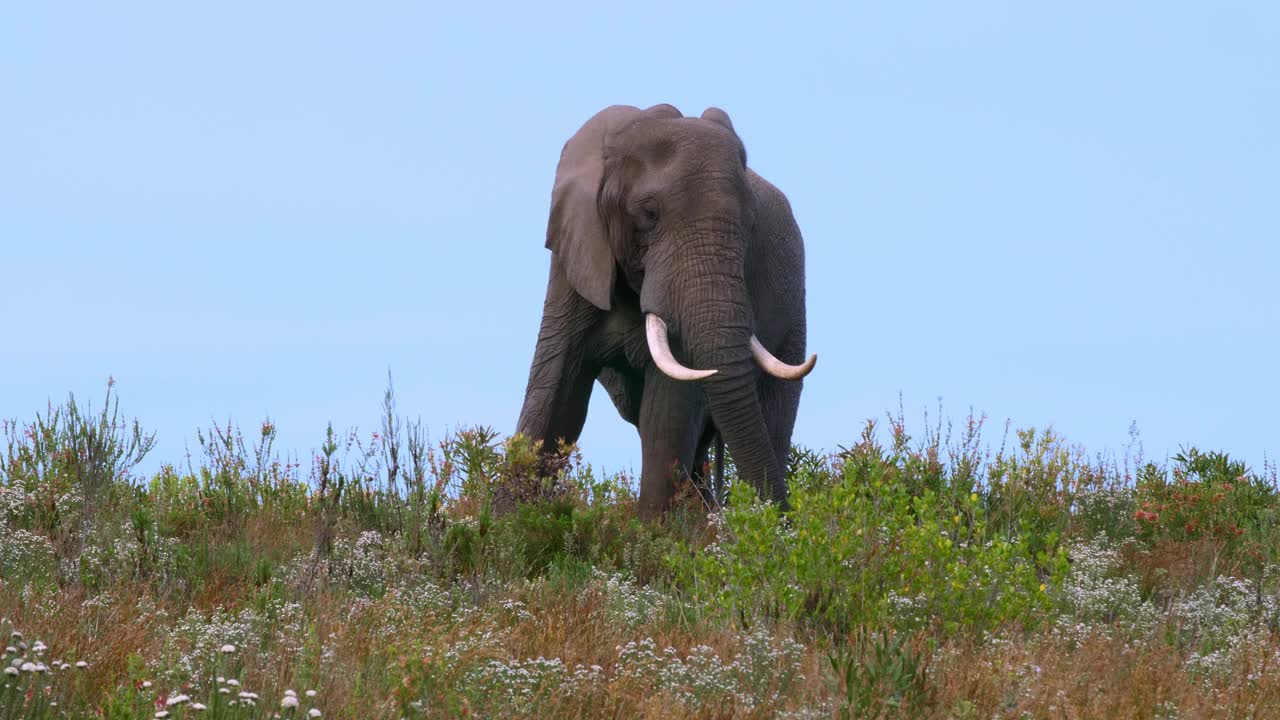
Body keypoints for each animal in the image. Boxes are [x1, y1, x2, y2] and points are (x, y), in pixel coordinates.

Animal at [514, 102, 814, 515]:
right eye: (649, 214)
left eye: (750, 223)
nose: (778, 521)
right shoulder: (576, 257)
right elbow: (555, 393)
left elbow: (667, 417)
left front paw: (655, 531)